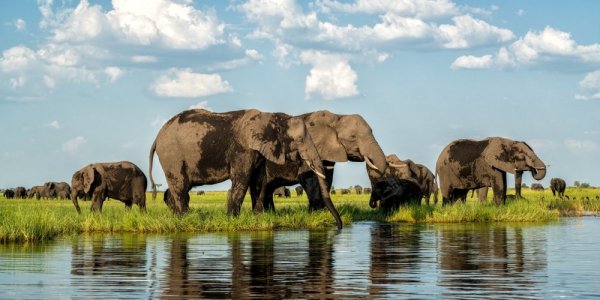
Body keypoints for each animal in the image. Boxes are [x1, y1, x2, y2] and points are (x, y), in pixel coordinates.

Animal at [146, 109, 342, 229]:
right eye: (300, 139)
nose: (339, 227)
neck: (272, 118)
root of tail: (157, 137)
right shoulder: (243, 149)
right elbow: (242, 180)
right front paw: (232, 221)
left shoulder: (259, 151)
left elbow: (258, 182)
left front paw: (258, 219)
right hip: (172, 155)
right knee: (180, 187)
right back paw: (185, 220)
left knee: (180, 188)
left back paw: (176, 217)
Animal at [251, 110, 386, 216]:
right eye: (353, 137)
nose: (374, 205)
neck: (337, 117)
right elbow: (309, 179)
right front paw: (314, 214)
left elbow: (327, 179)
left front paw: (321, 213)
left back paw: (270, 214)